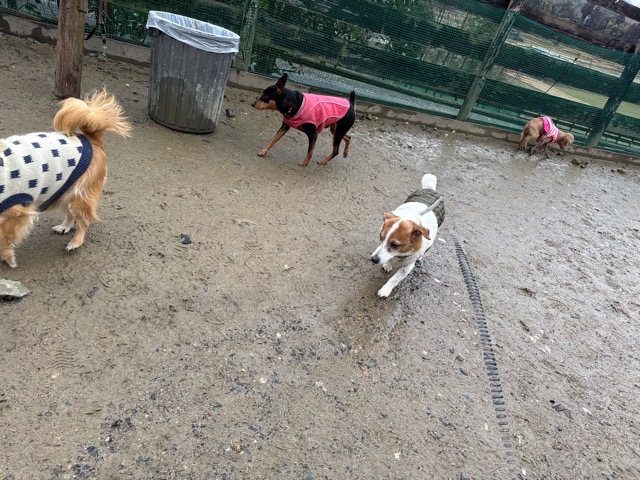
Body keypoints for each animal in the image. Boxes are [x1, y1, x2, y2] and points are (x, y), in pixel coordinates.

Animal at [0, 89, 131, 268]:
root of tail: (92, 139)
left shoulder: (15, 213)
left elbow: (4, 238)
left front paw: (8, 258)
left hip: (78, 198)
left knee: (83, 221)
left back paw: (76, 241)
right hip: (63, 190)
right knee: (71, 215)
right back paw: (64, 227)